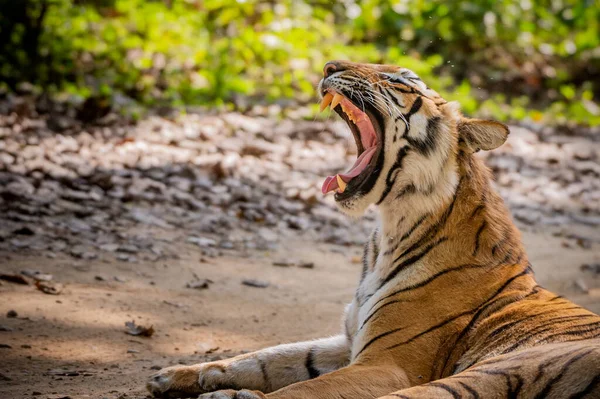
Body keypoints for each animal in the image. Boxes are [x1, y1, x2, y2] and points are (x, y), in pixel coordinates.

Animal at [146, 60, 600, 399]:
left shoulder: (387, 362)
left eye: (398, 80)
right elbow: (266, 356)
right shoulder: (348, 341)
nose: (330, 65)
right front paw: (177, 374)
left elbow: (300, 390)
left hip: (491, 371)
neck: (389, 231)